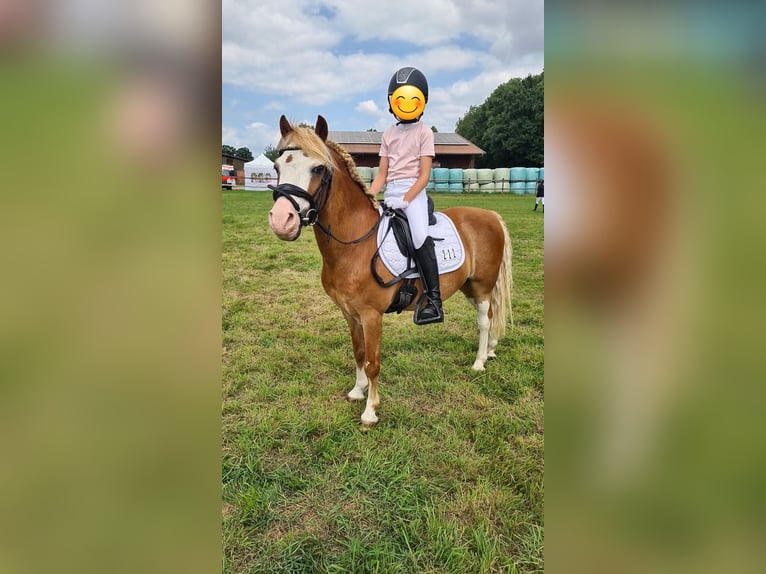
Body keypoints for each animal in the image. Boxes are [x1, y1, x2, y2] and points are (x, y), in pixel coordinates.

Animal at [268, 115, 513, 427]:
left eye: (318, 168)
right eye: (278, 167)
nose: (281, 221)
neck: (355, 242)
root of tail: (489, 215)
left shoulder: (371, 315)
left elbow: (373, 361)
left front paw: (370, 411)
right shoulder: (350, 313)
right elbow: (359, 352)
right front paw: (357, 391)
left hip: (482, 285)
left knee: (483, 320)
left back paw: (479, 362)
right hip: (469, 286)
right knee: (491, 316)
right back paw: (490, 350)